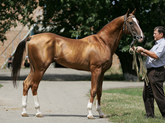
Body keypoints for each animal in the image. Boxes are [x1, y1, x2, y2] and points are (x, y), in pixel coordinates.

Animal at [11, 8, 144, 119]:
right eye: (131, 22)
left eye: (138, 21)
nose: (142, 37)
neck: (103, 42)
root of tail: (32, 37)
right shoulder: (96, 70)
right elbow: (93, 90)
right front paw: (90, 114)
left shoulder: (102, 72)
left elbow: (100, 91)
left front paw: (101, 113)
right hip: (41, 68)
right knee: (34, 85)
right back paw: (38, 112)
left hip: (34, 68)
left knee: (26, 84)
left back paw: (24, 112)